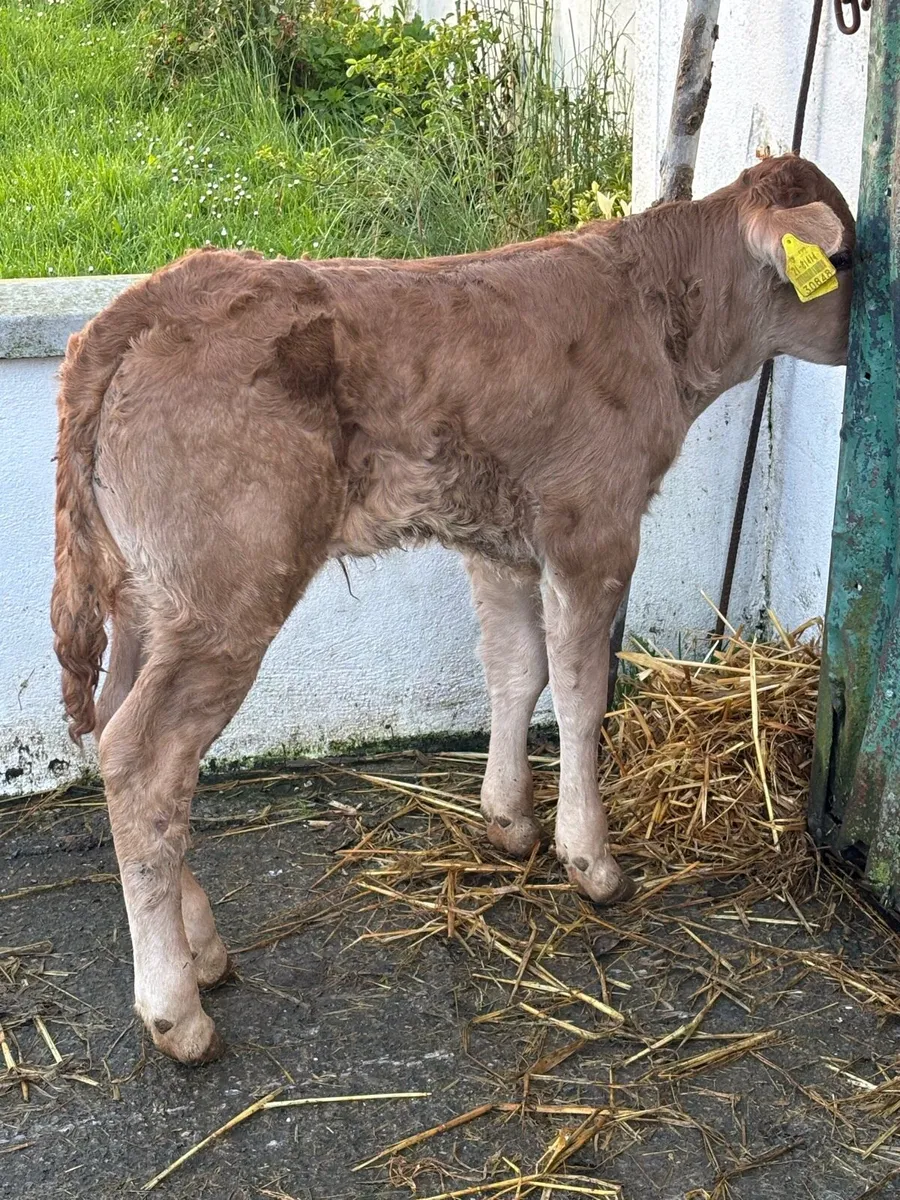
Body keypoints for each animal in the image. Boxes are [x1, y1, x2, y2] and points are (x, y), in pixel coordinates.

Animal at [50, 154, 854, 1063]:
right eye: (845, 260)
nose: (866, 331)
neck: (654, 306)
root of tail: (156, 296)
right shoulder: (593, 527)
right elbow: (581, 693)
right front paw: (591, 861)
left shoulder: (500, 542)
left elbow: (517, 670)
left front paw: (509, 820)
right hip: (226, 595)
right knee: (146, 758)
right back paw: (175, 1009)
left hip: (149, 599)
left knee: (114, 728)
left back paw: (203, 948)